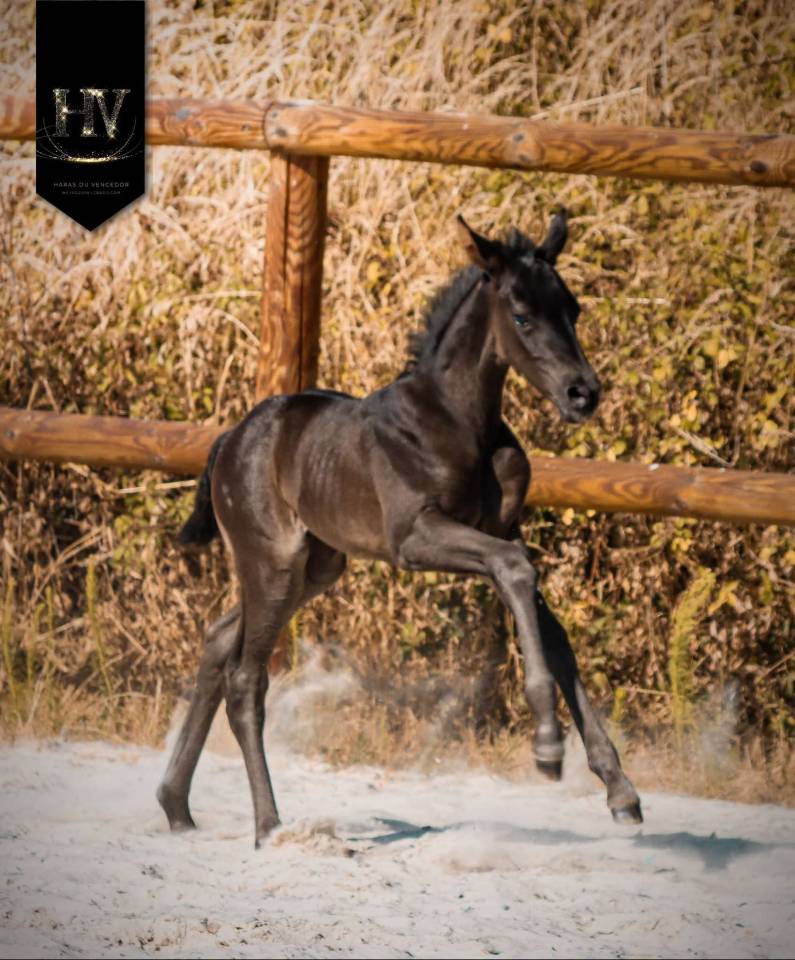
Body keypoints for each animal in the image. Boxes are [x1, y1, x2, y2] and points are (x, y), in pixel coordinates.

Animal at [157, 209, 643, 847]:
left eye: (573, 308)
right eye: (521, 315)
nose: (582, 393)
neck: (461, 422)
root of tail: (229, 439)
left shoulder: (503, 529)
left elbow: (556, 637)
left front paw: (620, 790)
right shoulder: (417, 538)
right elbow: (516, 573)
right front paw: (546, 745)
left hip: (317, 567)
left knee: (218, 639)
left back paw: (175, 806)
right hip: (273, 561)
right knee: (245, 678)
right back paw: (268, 825)